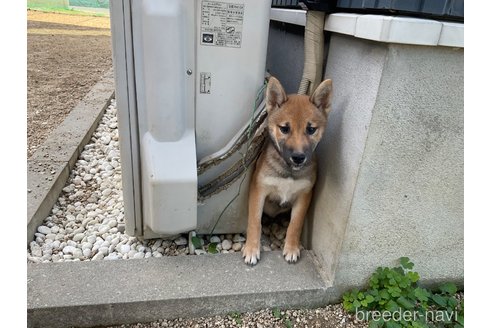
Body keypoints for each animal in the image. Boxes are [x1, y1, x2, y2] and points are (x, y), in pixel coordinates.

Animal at [241, 75, 332, 266]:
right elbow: (254, 221)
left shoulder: (304, 195)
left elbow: (295, 224)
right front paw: (251, 249)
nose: (298, 157)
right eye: (284, 128)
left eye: (311, 129)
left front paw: (291, 248)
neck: (289, 173)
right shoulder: (258, 190)